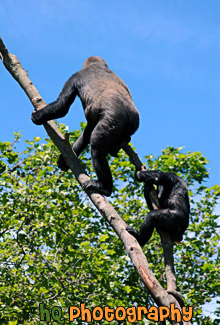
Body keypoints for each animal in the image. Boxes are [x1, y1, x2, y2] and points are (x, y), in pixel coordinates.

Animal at [31, 56, 139, 195]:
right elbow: (87, 131)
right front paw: (65, 159)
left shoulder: (74, 78)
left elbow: (62, 107)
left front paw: (37, 117)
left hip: (113, 123)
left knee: (96, 147)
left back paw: (104, 187)